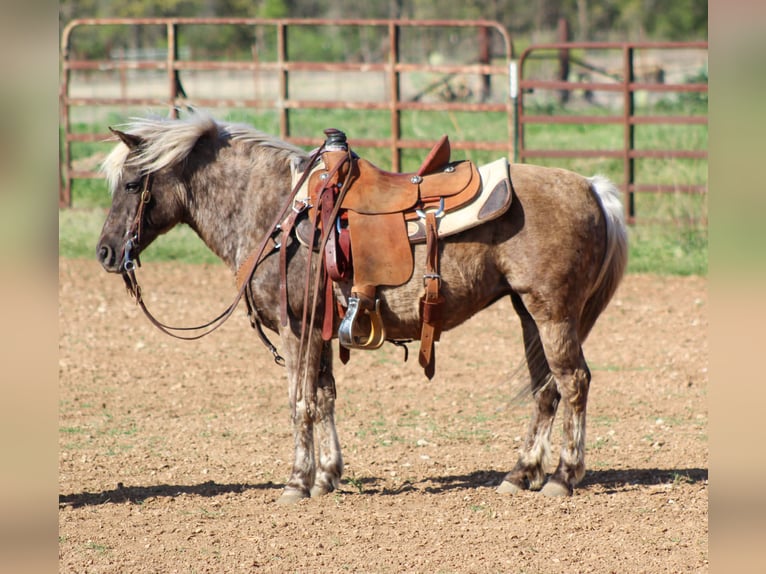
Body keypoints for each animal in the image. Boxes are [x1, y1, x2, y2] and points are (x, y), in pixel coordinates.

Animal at [96, 110, 627, 503]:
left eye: (131, 184)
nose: (104, 251)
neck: (273, 211)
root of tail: (592, 189)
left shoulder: (296, 328)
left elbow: (301, 401)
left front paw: (297, 481)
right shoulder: (321, 329)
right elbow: (326, 396)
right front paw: (327, 475)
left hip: (553, 313)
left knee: (573, 382)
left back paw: (563, 477)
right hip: (528, 313)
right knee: (545, 389)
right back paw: (520, 474)